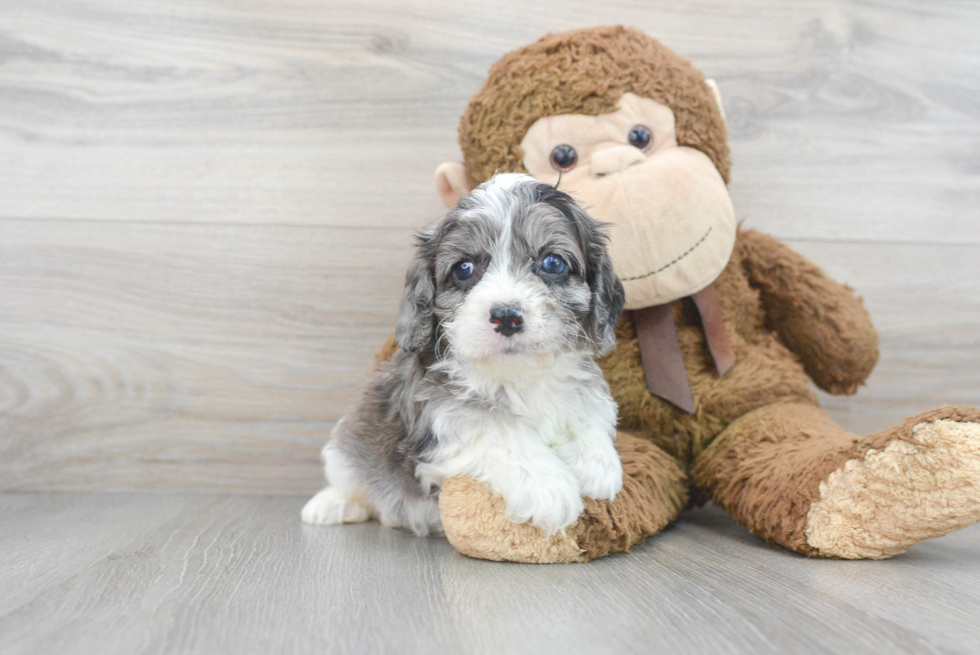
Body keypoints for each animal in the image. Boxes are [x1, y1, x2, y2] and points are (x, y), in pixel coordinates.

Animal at [298, 174, 632, 540]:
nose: (506, 316)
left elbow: (591, 408)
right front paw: (549, 487)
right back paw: (332, 505)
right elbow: (498, 429)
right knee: (352, 482)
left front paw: (598, 464)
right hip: (346, 444)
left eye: (552, 263)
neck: (518, 375)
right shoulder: (441, 408)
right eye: (464, 268)